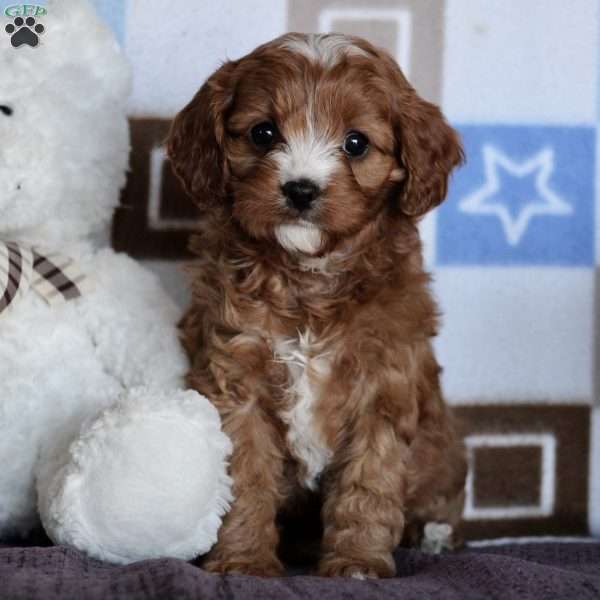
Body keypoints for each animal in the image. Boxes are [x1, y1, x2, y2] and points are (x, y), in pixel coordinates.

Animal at [166, 31, 466, 576]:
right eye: (263, 133)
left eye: (356, 143)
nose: (301, 189)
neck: (308, 281)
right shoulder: (236, 377)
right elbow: (244, 478)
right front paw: (243, 559)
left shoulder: (382, 386)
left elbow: (367, 484)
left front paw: (358, 561)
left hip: (445, 459)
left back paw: (432, 534)